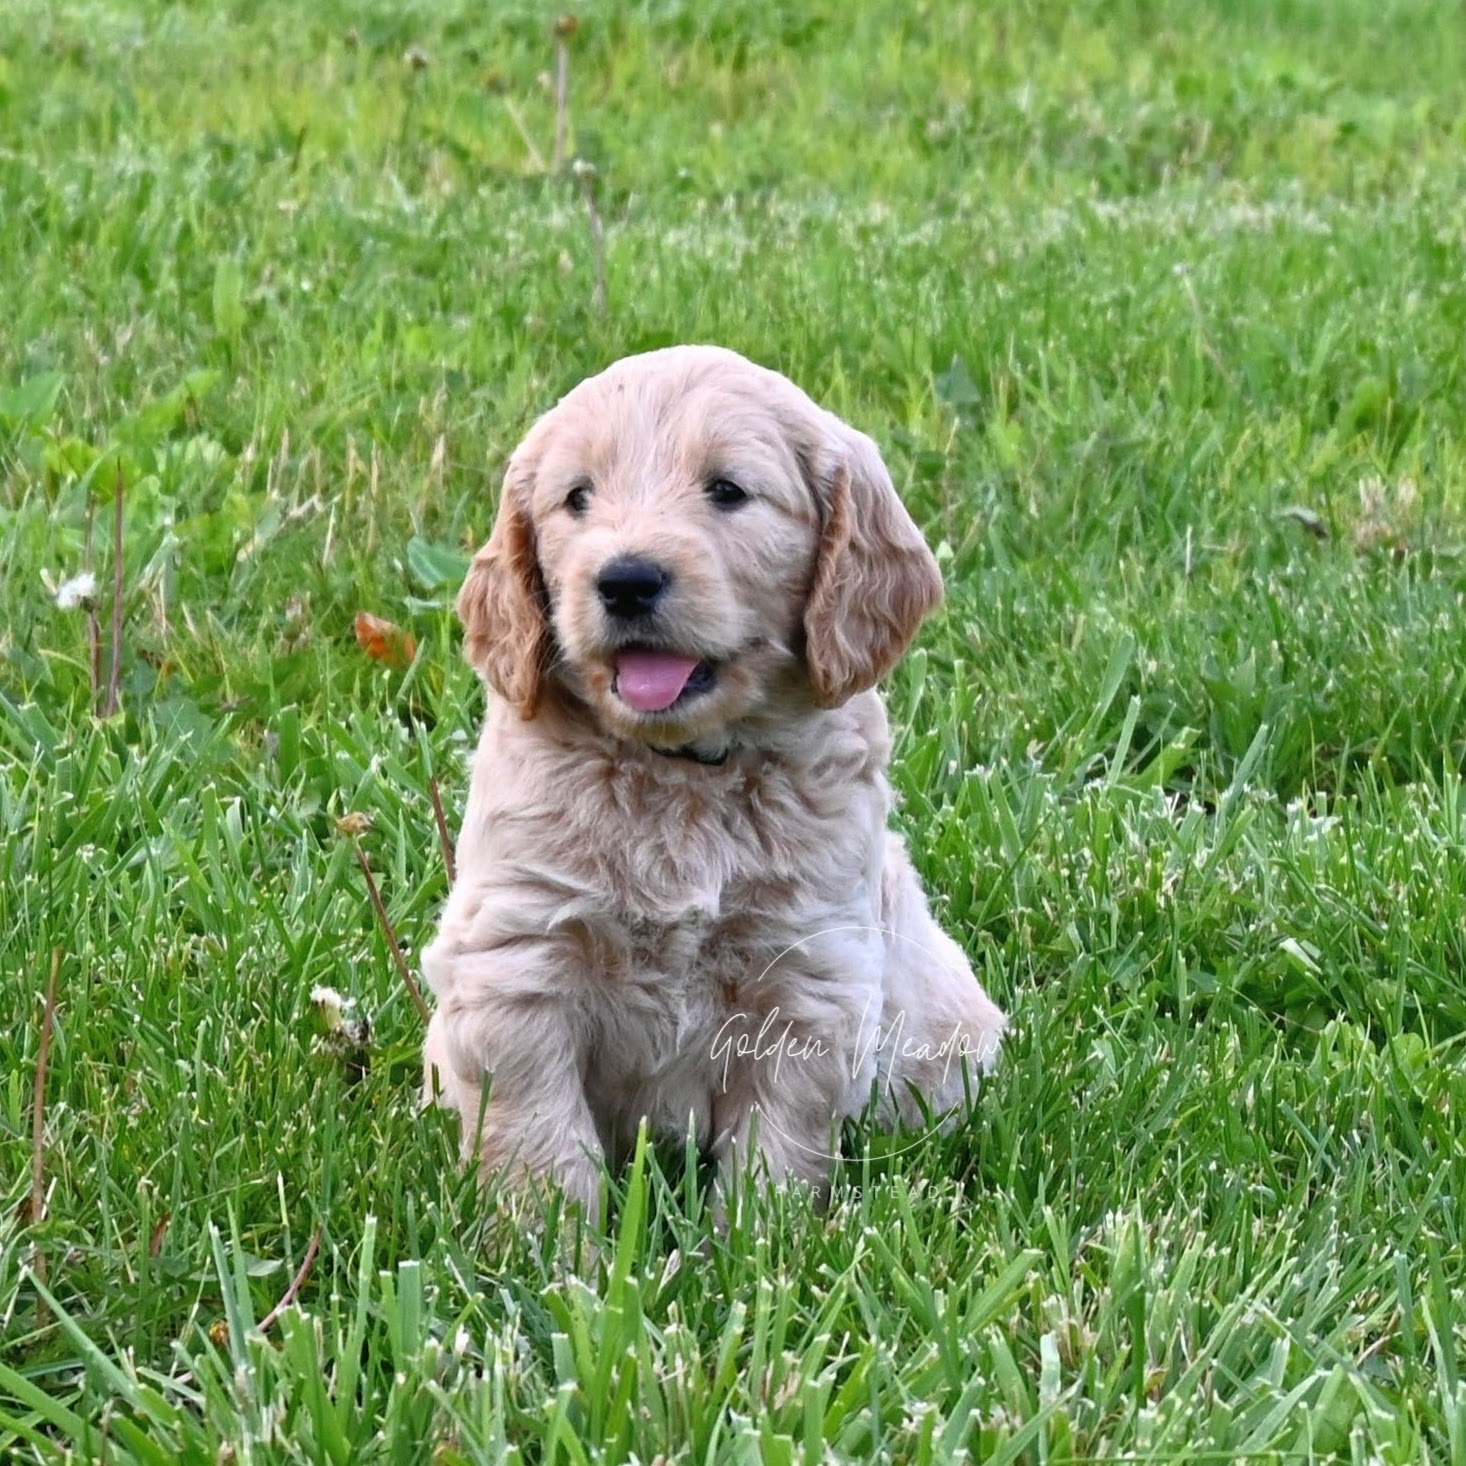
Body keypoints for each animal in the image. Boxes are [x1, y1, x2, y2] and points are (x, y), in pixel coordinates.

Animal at [419, 343, 1002, 1213]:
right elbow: (540, 1143)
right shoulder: (515, 964)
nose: (626, 578)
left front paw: (761, 1240)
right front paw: (550, 1246)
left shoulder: (809, 977)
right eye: (577, 498)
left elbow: (776, 1152)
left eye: (727, 490)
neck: (680, 776)